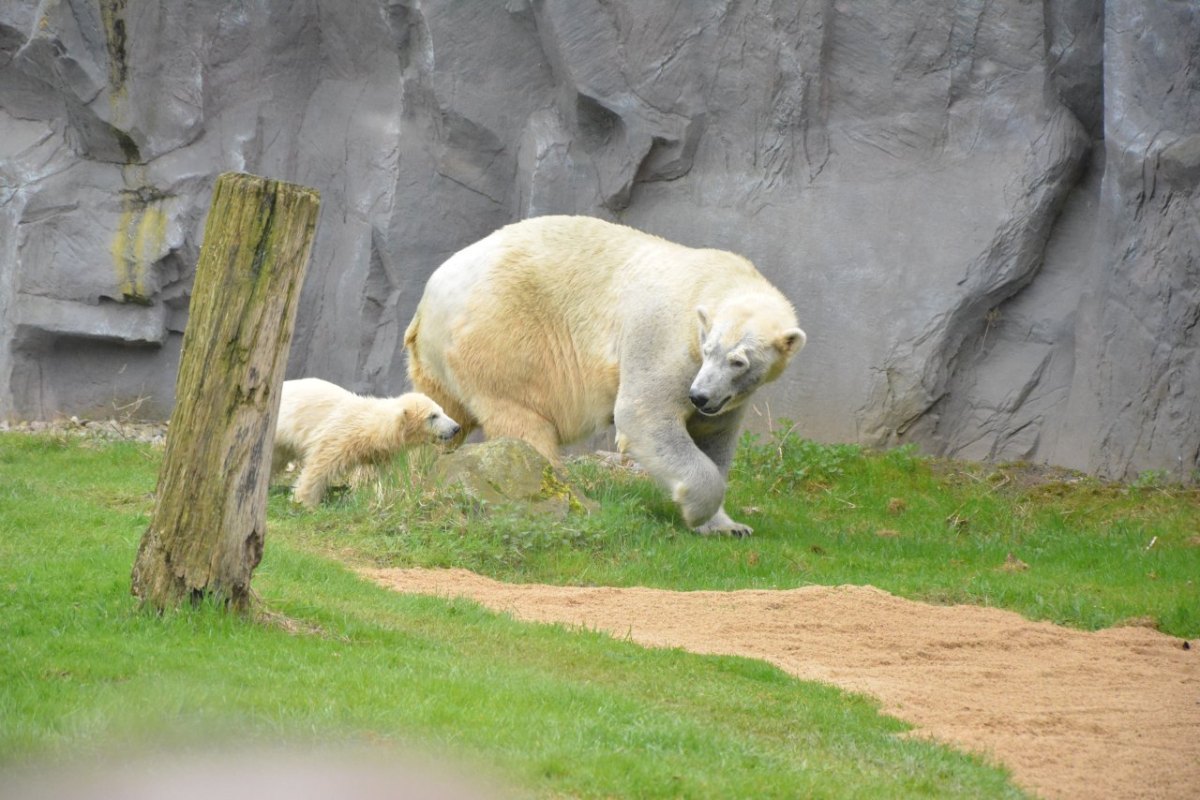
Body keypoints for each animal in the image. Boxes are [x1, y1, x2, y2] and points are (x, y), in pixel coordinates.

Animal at [405, 215, 806, 534]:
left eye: (739, 362)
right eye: (709, 349)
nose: (700, 397)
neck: (715, 279)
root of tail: (429, 296)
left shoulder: (727, 395)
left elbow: (715, 438)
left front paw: (728, 526)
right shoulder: (664, 338)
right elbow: (643, 414)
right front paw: (697, 511)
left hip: (438, 363)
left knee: (442, 411)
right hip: (502, 333)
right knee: (522, 416)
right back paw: (560, 492)